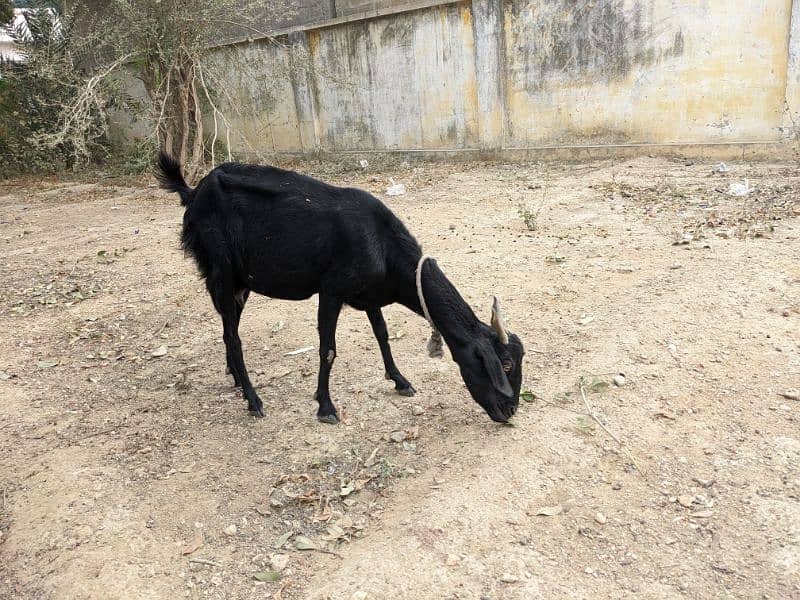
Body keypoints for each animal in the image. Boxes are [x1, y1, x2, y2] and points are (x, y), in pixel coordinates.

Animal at [155, 155, 524, 426]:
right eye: (505, 366)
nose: (509, 412)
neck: (383, 246)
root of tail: (194, 193)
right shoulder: (331, 292)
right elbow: (328, 350)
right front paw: (326, 406)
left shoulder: (369, 294)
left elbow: (382, 334)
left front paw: (400, 380)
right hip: (222, 269)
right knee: (233, 336)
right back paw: (253, 399)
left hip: (239, 283)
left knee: (227, 329)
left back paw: (234, 376)